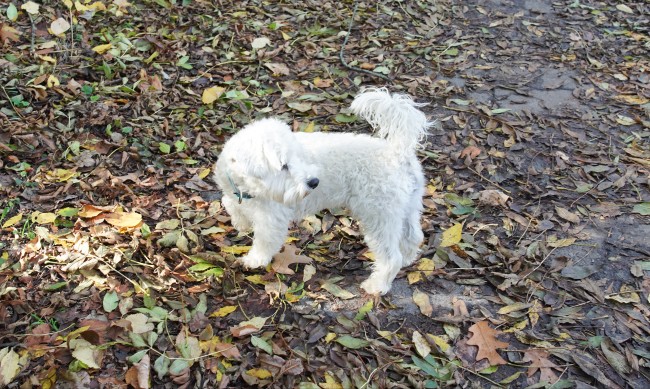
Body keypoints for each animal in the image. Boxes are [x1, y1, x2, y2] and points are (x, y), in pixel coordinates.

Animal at [215, 88, 432, 294]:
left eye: (298, 158)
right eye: (284, 165)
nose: (314, 182)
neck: (245, 187)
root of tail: (398, 152)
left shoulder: (271, 219)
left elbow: (264, 241)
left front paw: (255, 260)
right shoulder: (233, 195)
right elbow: (230, 205)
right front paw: (241, 223)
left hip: (380, 216)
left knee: (391, 257)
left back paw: (377, 285)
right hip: (407, 208)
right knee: (414, 237)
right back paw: (408, 258)